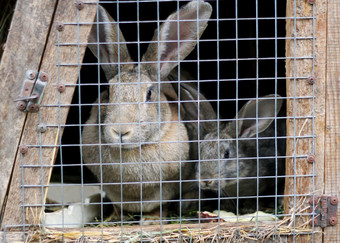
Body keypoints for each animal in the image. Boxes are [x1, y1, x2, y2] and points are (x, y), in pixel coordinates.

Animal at [82, 0, 214, 218]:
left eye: (149, 93)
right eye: (108, 91)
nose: (120, 131)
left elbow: (161, 205)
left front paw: (152, 220)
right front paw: (114, 217)